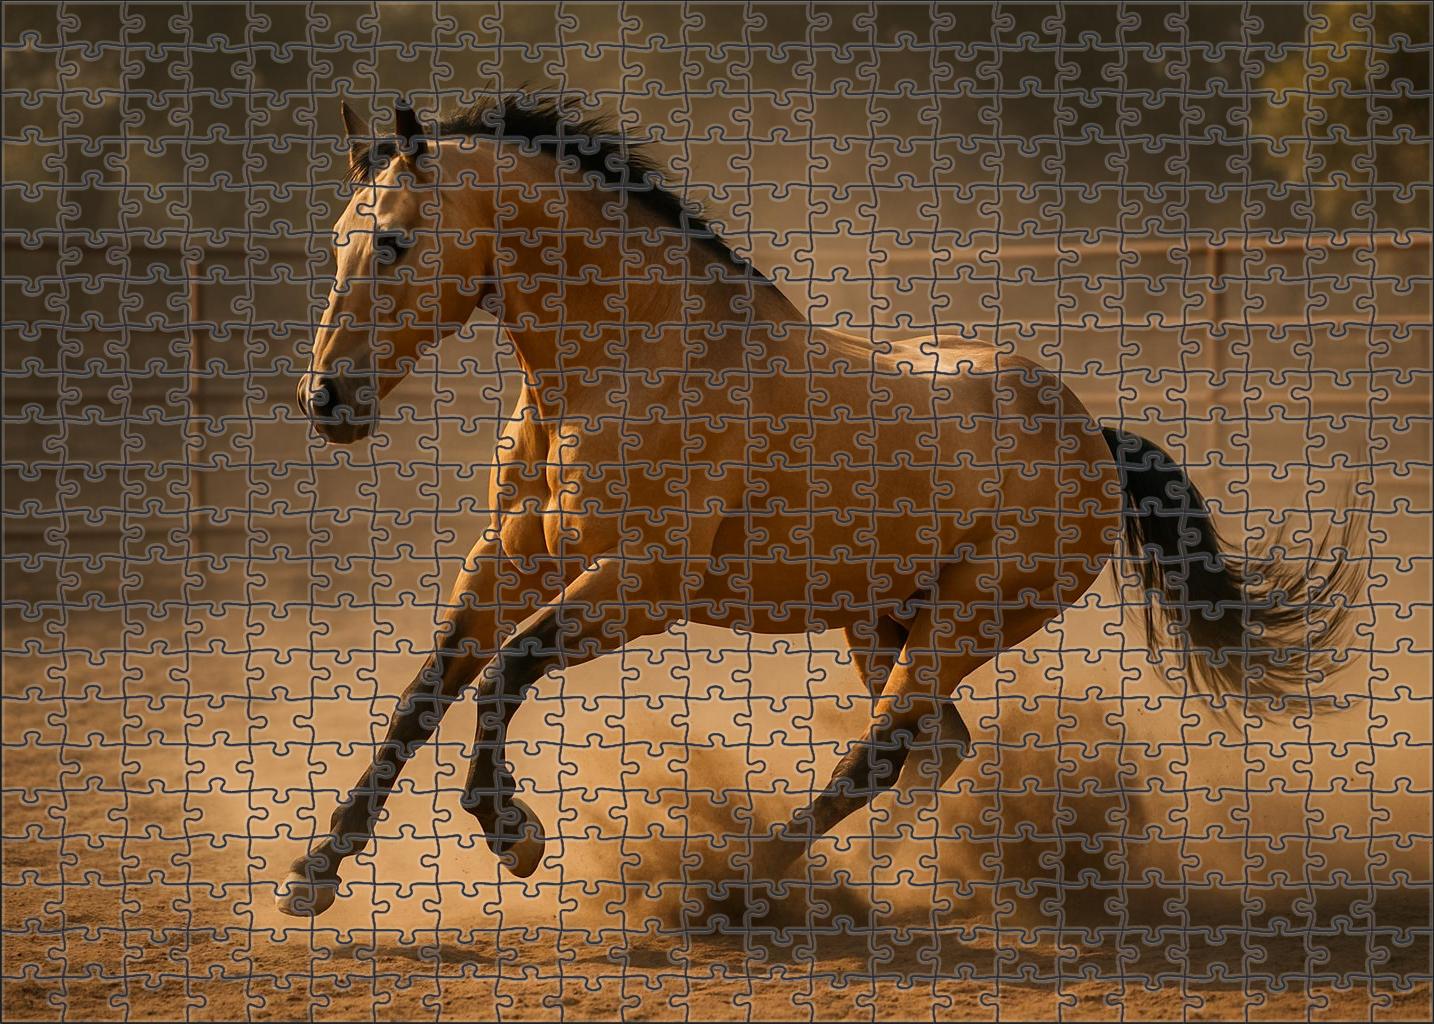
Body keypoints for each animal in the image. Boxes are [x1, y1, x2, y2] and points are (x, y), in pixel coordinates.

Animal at [276, 94, 1362, 917]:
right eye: (337, 241)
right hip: (882, 621)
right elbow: (425, 693)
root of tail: (1092, 436)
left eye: (394, 244)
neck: (626, 364)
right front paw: (314, 872)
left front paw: (515, 833)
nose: (326, 398)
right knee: (933, 748)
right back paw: (863, 882)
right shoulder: (507, 560)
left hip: (963, 621)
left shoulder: (639, 587)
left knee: (881, 755)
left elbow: (504, 673)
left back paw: (749, 884)